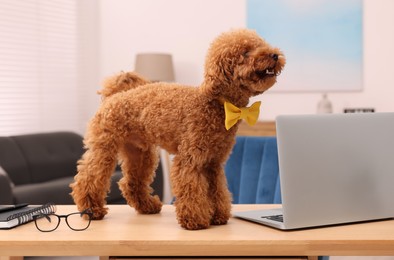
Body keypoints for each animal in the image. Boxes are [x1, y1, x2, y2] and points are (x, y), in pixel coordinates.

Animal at [71, 29, 284, 231]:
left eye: (261, 44)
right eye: (246, 52)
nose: (275, 55)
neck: (218, 103)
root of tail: (113, 96)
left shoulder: (213, 162)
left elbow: (217, 190)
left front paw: (218, 216)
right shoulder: (190, 159)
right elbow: (192, 189)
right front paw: (195, 220)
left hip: (141, 152)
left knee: (131, 182)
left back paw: (148, 206)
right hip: (105, 148)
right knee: (88, 177)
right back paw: (92, 210)